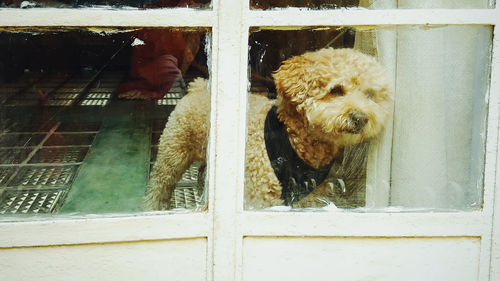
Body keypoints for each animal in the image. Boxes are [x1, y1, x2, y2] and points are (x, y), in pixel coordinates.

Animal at [145, 48, 394, 209]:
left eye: (370, 95)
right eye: (336, 90)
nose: (361, 118)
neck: (295, 139)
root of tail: (198, 87)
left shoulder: (307, 199)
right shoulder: (261, 196)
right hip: (173, 152)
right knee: (159, 185)